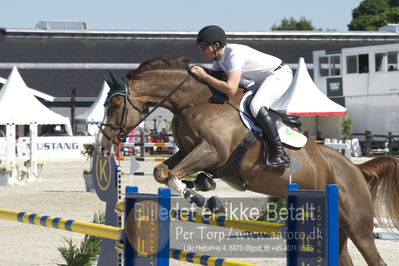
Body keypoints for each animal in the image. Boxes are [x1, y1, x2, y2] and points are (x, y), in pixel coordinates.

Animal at [98, 55, 399, 264]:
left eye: (115, 104)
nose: (103, 145)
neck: (193, 100)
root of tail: (356, 169)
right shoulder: (188, 151)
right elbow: (162, 171)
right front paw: (204, 190)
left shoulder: (212, 151)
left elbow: (172, 174)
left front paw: (201, 198)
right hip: (336, 228)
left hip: (358, 226)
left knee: (375, 259)